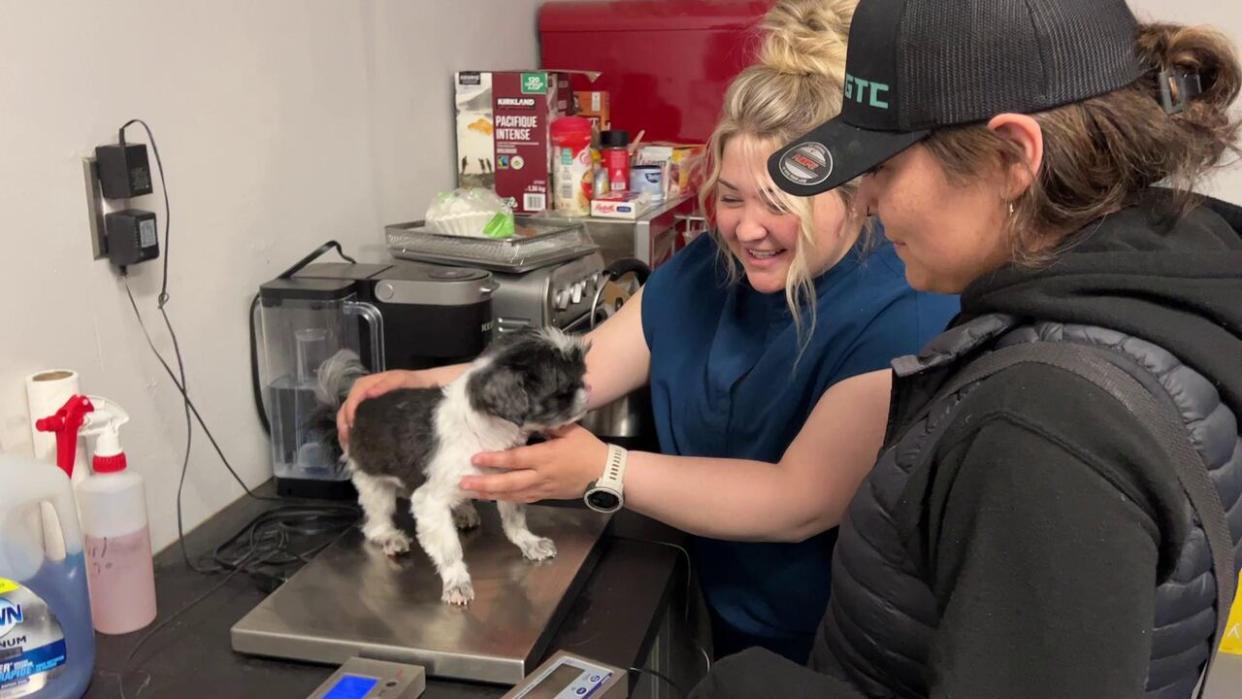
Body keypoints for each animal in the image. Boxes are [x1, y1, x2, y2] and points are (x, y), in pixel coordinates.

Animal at [320, 330, 591, 608]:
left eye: (581, 376)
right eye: (563, 391)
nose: (587, 391)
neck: (486, 431)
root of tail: (354, 412)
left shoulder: (506, 481)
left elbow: (515, 521)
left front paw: (529, 542)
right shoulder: (429, 503)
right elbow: (449, 550)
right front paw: (457, 582)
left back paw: (463, 510)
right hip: (373, 483)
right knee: (375, 524)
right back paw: (390, 537)